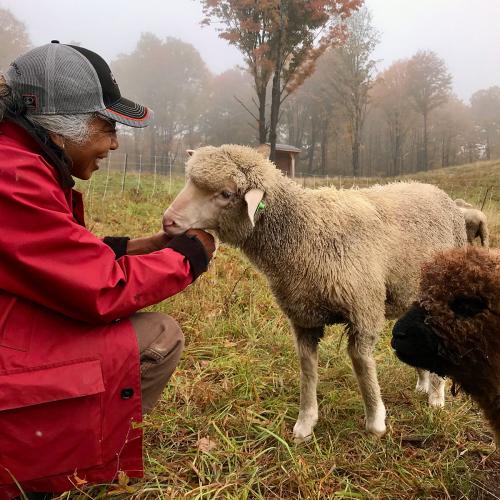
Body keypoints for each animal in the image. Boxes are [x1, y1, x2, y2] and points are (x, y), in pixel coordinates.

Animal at [162, 145, 466, 442]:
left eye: (225, 194)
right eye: (189, 181)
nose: (168, 221)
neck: (306, 231)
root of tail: (437, 191)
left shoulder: (364, 307)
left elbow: (362, 363)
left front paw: (376, 421)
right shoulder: (303, 316)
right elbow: (307, 369)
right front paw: (305, 423)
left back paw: (436, 396)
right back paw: (423, 383)